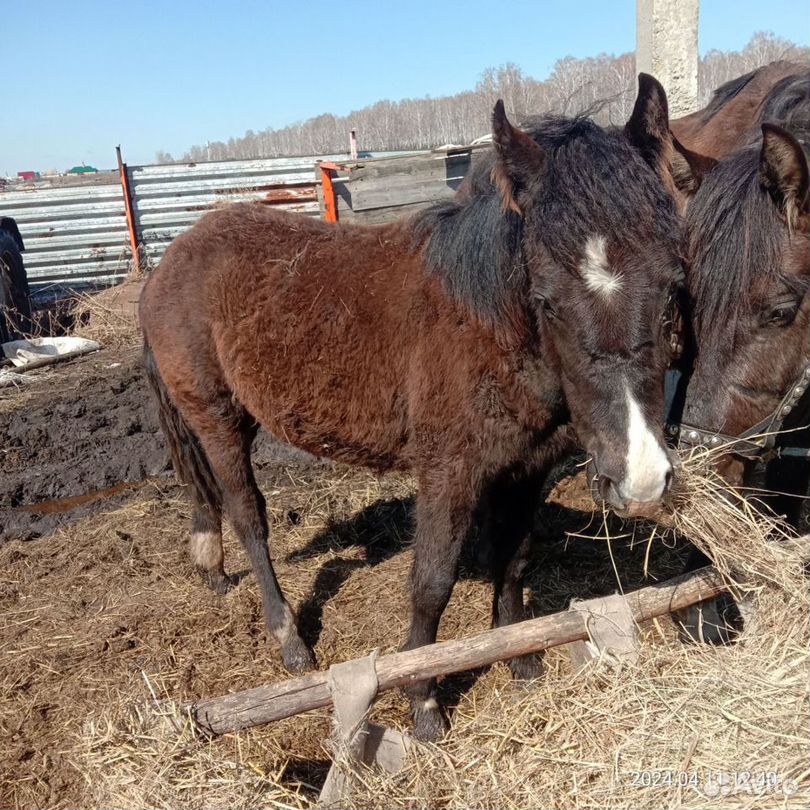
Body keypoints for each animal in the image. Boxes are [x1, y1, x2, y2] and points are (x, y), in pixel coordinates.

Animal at [139, 77, 680, 740]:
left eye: (671, 290)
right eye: (547, 300)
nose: (641, 479)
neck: (486, 324)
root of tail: (169, 261)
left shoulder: (527, 468)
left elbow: (514, 559)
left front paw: (520, 657)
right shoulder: (449, 471)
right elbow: (431, 582)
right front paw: (423, 700)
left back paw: (213, 569)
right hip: (219, 416)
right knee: (247, 514)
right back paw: (289, 639)